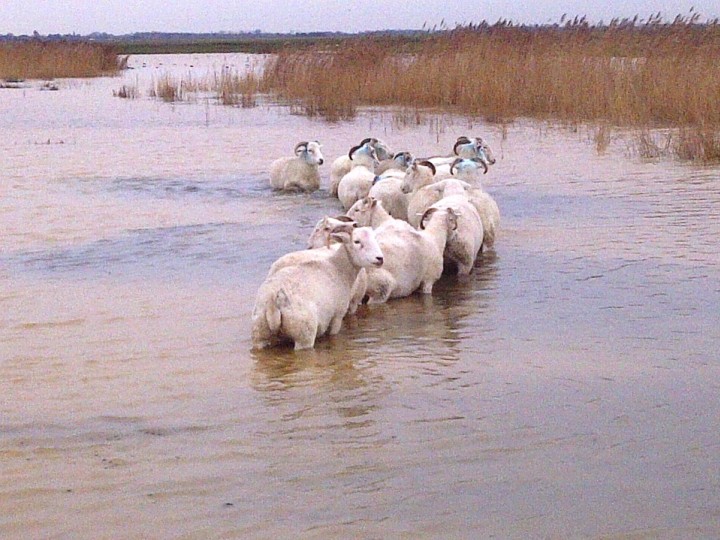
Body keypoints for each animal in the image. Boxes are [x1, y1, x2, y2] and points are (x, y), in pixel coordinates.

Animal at [255, 227, 388, 350]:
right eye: (357, 241)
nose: (380, 258)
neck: (338, 268)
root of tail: (273, 302)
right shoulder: (337, 316)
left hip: (259, 333)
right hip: (304, 334)